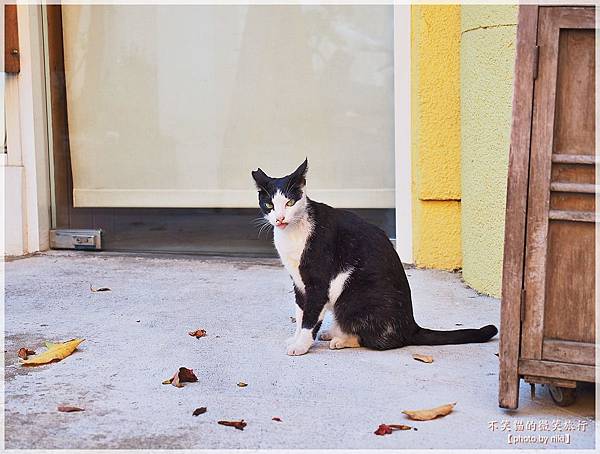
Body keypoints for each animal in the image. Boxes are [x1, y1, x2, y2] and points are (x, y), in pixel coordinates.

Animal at [252, 159, 496, 354]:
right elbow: (301, 312)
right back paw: (334, 332)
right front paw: (295, 338)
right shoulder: (298, 282)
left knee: (381, 341)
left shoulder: (318, 282)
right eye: (269, 204)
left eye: (290, 203)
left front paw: (301, 345)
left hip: (352, 296)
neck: (292, 234)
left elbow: (310, 318)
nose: (280, 218)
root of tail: (411, 326)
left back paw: (341, 340)